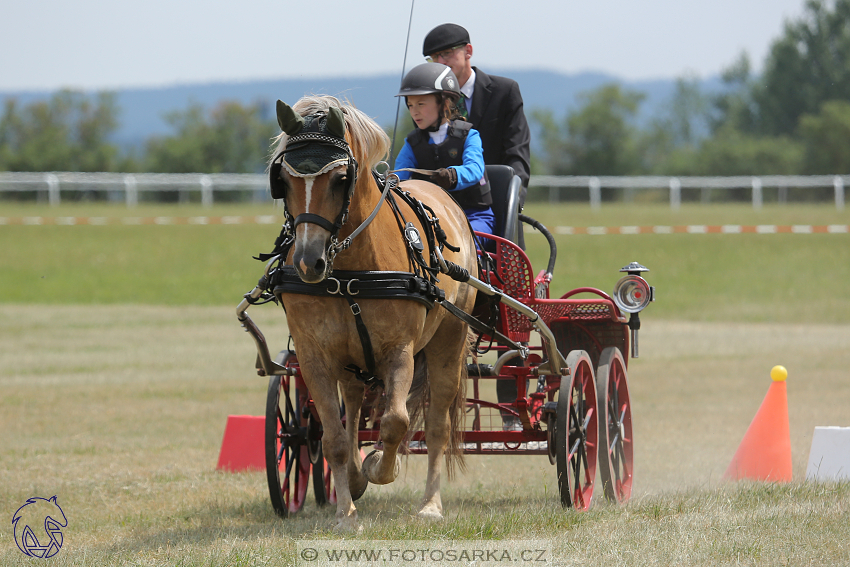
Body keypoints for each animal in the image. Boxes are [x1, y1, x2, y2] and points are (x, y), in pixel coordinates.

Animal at [266, 95, 476, 532]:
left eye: (340, 178)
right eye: (283, 181)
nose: (308, 261)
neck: (349, 274)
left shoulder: (399, 350)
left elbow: (396, 422)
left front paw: (380, 465)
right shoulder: (314, 356)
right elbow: (334, 437)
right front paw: (347, 509)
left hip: (448, 342)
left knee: (436, 425)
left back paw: (430, 504)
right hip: (352, 362)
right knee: (353, 406)